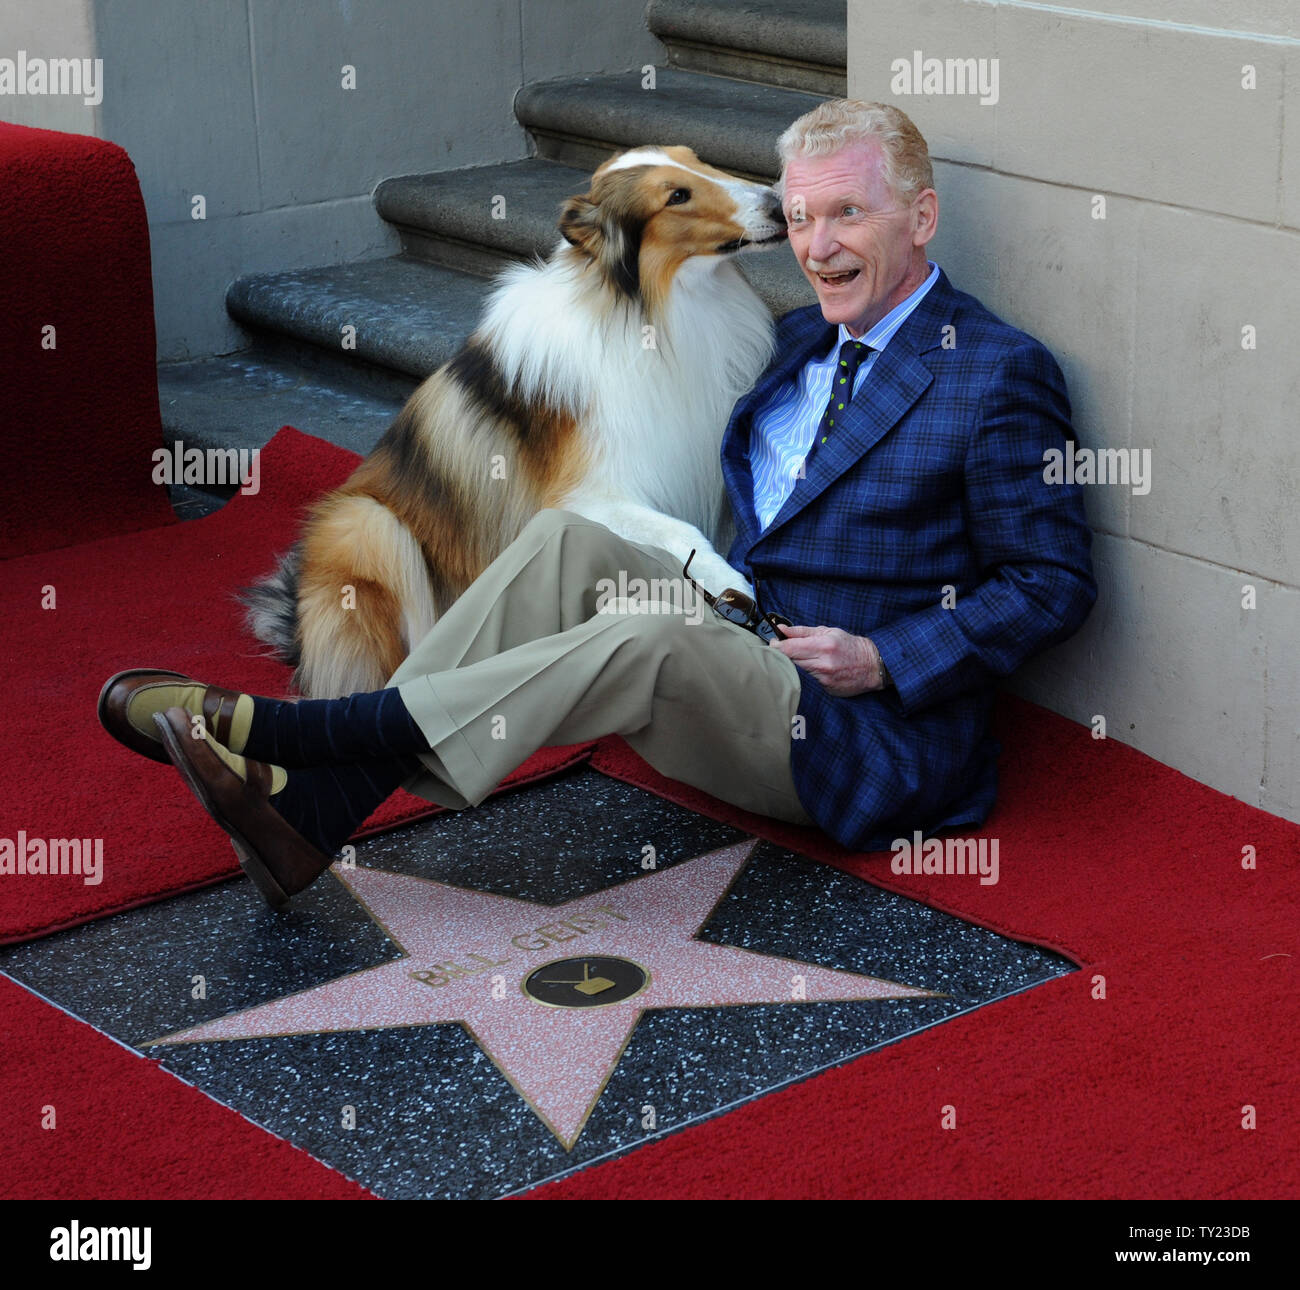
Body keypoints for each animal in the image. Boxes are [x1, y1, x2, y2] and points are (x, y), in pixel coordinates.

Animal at [246, 143, 785, 697]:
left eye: (696, 159)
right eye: (676, 196)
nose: (780, 205)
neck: (653, 309)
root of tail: (295, 627)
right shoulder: (588, 495)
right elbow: (682, 533)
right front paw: (733, 586)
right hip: (371, 524)